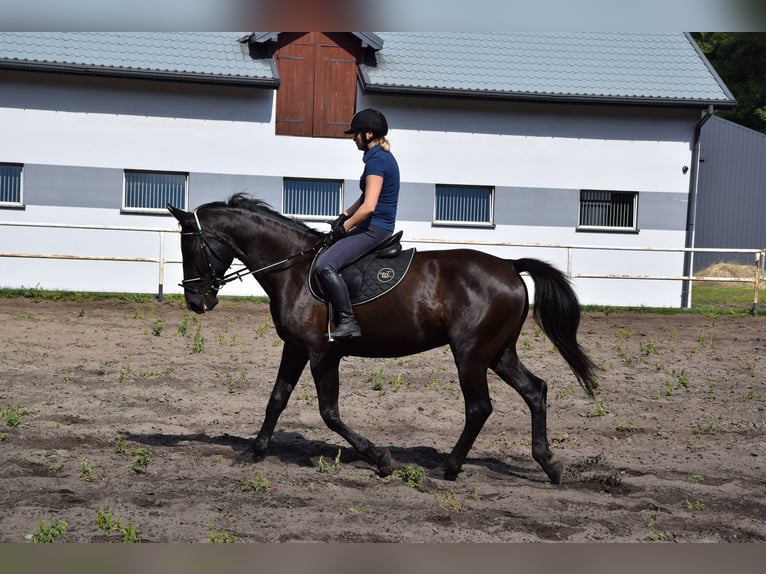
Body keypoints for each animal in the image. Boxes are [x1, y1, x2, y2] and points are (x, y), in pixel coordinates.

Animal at [168, 193, 597, 483]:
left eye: (191, 246)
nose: (195, 301)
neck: (294, 269)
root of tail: (509, 265)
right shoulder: (295, 348)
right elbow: (276, 399)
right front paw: (253, 451)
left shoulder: (323, 353)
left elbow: (329, 412)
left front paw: (381, 458)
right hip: (498, 352)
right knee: (535, 390)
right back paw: (549, 464)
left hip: (471, 354)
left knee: (479, 407)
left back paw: (449, 467)